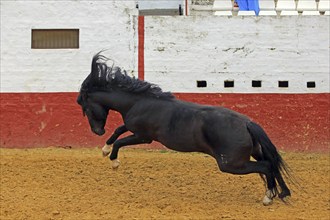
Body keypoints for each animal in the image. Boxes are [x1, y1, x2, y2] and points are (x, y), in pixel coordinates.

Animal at [77, 52, 292, 205]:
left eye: (85, 107)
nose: (97, 131)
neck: (139, 102)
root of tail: (247, 123)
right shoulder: (134, 129)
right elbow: (119, 131)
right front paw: (104, 149)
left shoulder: (143, 136)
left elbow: (120, 141)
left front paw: (114, 162)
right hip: (252, 153)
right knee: (270, 164)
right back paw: (280, 193)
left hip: (231, 164)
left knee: (266, 166)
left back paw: (268, 197)